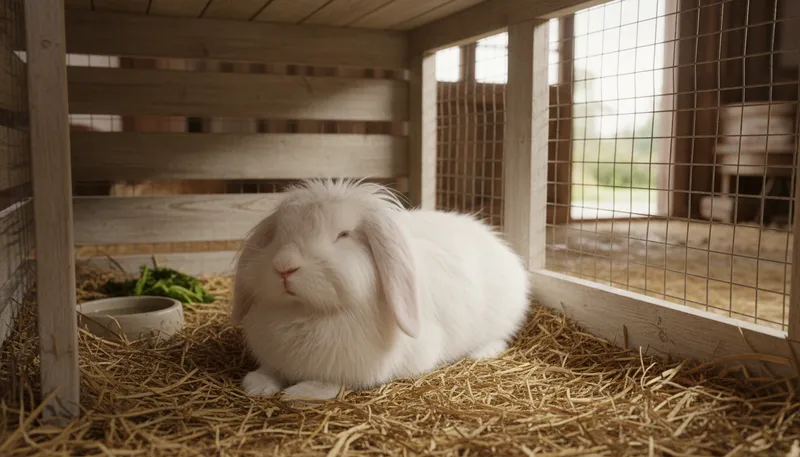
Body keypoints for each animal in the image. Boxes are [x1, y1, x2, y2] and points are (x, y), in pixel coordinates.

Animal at [230, 178, 530, 400]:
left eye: (343, 235)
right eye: (278, 235)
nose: (284, 266)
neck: (305, 313)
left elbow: (331, 381)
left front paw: (300, 392)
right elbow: (271, 370)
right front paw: (257, 384)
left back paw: (481, 352)